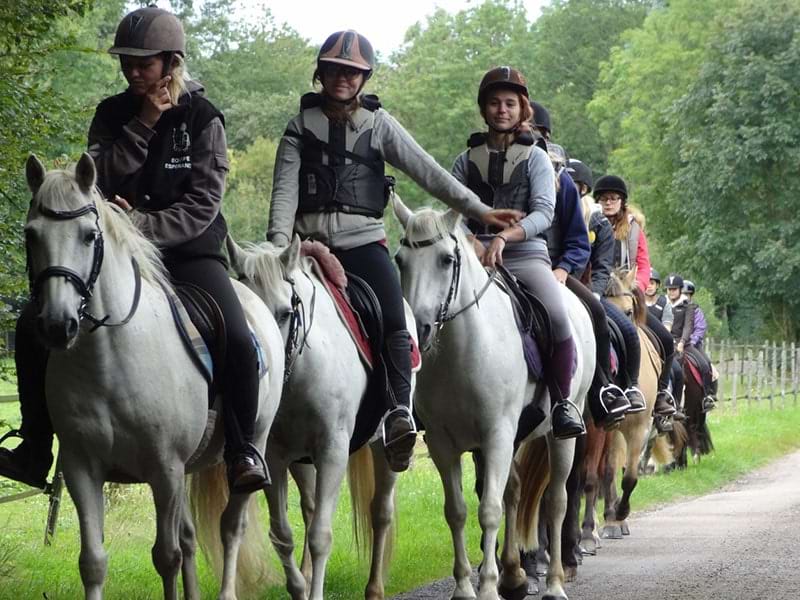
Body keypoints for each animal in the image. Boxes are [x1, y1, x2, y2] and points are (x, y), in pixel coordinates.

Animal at [24, 152, 284, 596]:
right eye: (30, 235)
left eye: (88, 237)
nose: (58, 325)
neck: (109, 360)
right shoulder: (81, 468)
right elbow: (93, 562)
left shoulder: (165, 469)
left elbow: (166, 557)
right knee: (191, 539)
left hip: (255, 442)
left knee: (230, 528)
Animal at [227, 234, 418, 600]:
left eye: (285, 313)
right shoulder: (275, 458)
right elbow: (282, 535)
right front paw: (298, 587)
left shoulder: (332, 452)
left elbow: (320, 537)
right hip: (301, 460)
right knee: (311, 506)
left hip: (384, 447)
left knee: (380, 511)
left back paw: (374, 588)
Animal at [394, 200, 592, 600]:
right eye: (399, 260)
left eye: (445, 260)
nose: (420, 329)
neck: (463, 349)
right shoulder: (443, 444)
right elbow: (457, 510)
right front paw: (464, 587)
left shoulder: (496, 436)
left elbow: (488, 509)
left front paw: (486, 587)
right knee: (513, 492)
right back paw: (514, 576)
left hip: (561, 433)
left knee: (555, 501)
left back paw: (554, 583)